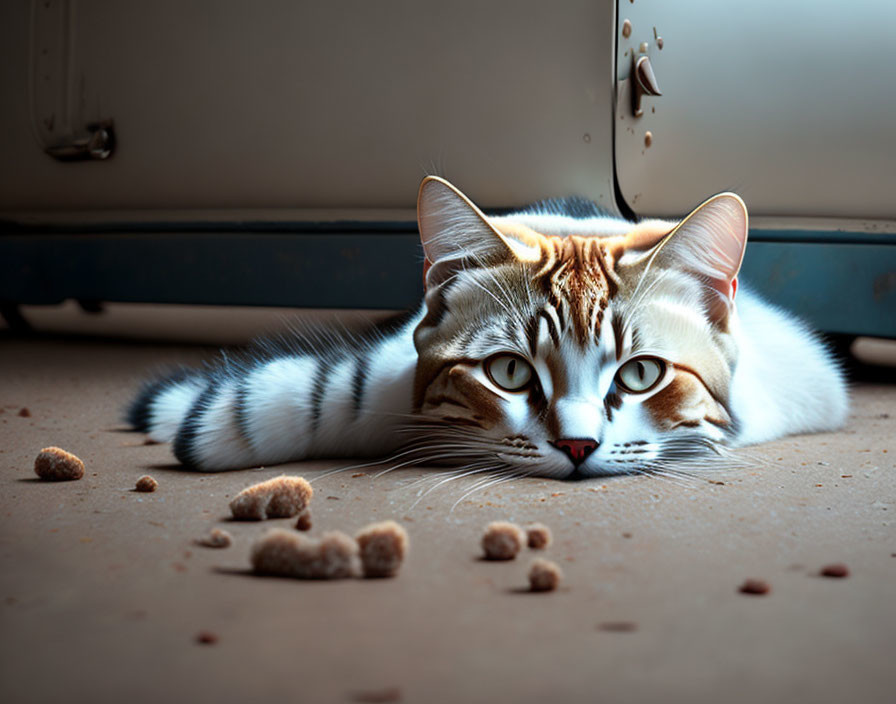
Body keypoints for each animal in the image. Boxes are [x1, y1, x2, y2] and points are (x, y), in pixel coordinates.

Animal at [126, 176, 848, 478]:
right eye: (508, 371)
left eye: (642, 374)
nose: (579, 446)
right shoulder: (394, 364)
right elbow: (339, 393)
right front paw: (214, 426)